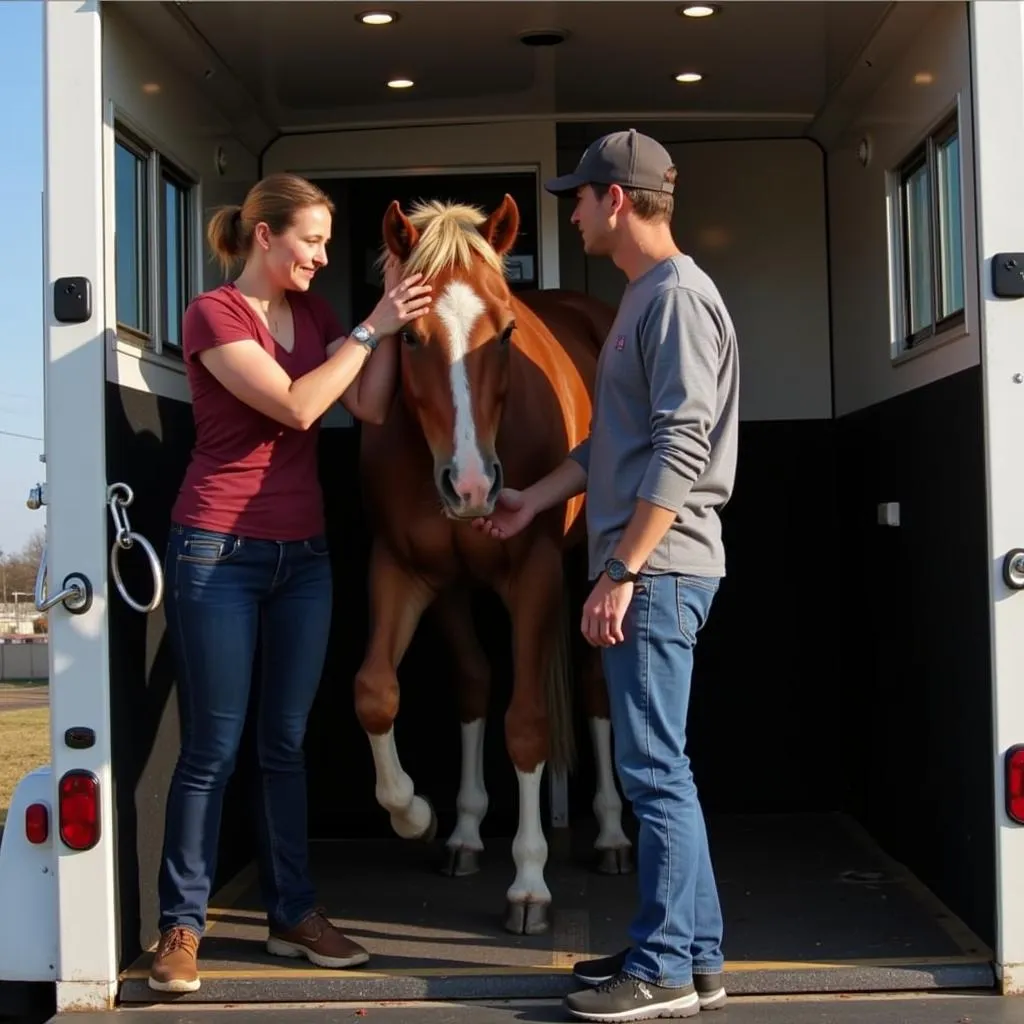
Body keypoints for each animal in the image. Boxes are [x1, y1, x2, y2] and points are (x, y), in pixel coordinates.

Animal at [350, 193, 630, 937]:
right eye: (409, 337)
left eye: (505, 333)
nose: (473, 486)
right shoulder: (414, 575)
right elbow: (384, 691)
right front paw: (424, 816)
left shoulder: (532, 577)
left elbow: (526, 725)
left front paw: (529, 883)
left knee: (595, 689)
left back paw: (613, 834)